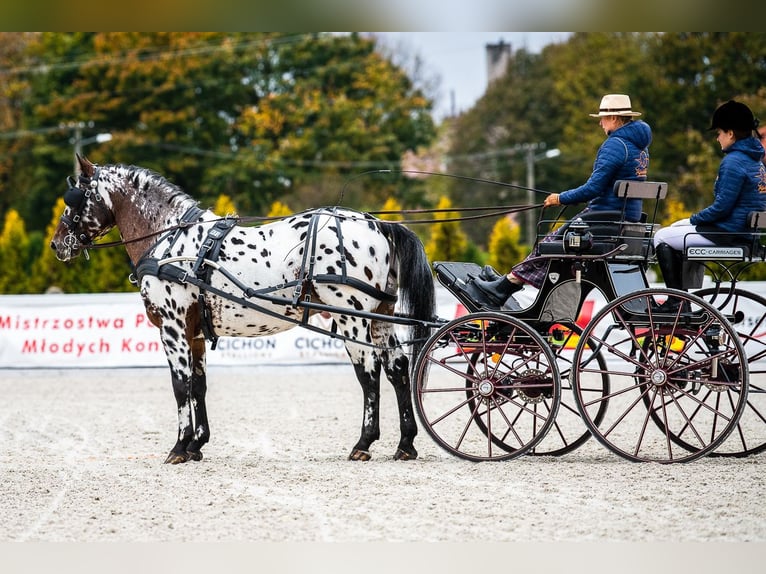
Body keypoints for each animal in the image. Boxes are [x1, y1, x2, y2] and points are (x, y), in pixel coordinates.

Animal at [52, 155, 438, 466]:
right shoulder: (194, 333)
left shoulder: (172, 327)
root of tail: (378, 224)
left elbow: (180, 385)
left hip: (352, 318)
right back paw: (405, 443)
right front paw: (196, 445)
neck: (168, 239)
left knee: (368, 373)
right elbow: (198, 385)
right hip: (380, 320)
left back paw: (363, 443)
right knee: (398, 370)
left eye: (74, 198)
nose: (57, 244)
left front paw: (178, 448)